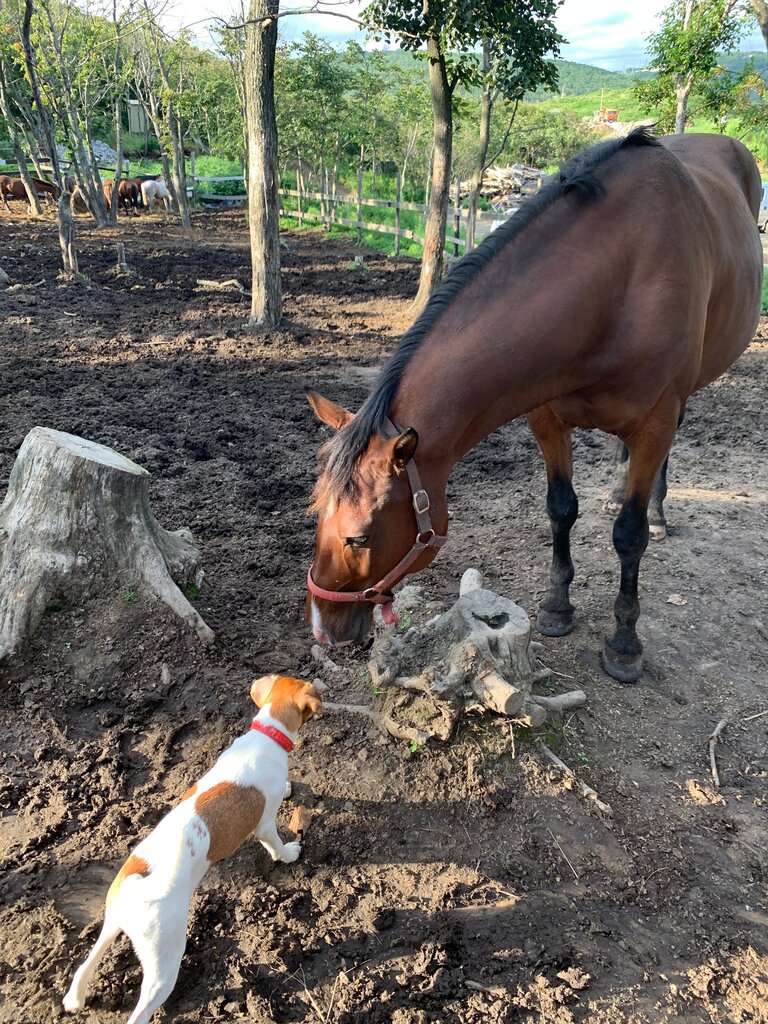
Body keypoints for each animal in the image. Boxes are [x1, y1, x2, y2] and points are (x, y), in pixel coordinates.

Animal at [306, 130, 763, 683]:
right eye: (316, 516)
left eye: (358, 538)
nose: (323, 629)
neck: (613, 284)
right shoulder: (546, 418)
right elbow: (560, 509)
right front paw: (556, 606)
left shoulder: (655, 421)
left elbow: (629, 535)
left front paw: (624, 644)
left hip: (681, 399)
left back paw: (656, 511)